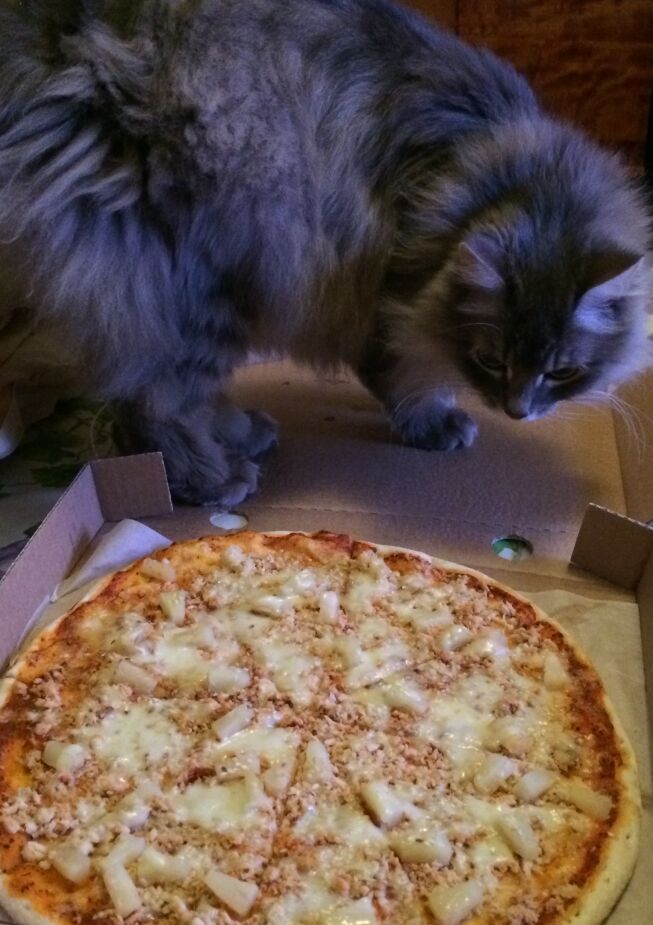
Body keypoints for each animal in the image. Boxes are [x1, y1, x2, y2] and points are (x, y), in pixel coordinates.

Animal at [0, 0, 650, 505]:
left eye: (563, 371)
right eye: (490, 360)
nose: (517, 411)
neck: (473, 170)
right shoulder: (386, 294)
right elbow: (406, 376)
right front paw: (435, 423)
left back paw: (242, 433)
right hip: (200, 282)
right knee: (158, 400)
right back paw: (212, 478)